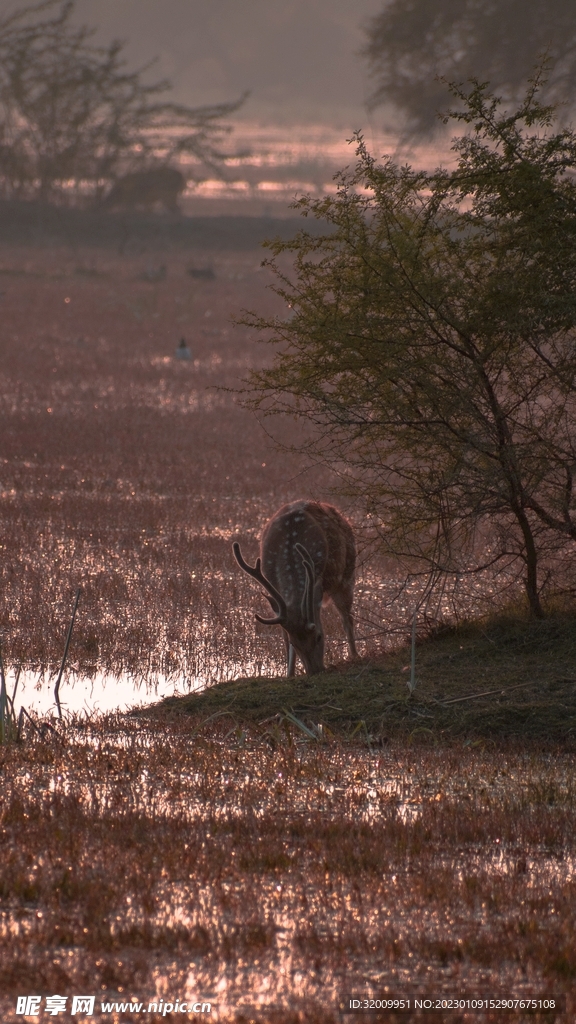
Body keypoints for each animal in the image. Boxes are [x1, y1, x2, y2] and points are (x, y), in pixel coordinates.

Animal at [233, 500, 357, 676]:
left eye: (319, 636)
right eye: (295, 643)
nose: (315, 671)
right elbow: (284, 635)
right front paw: (289, 673)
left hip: (347, 577)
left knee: (347, 618)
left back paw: (355, 655)